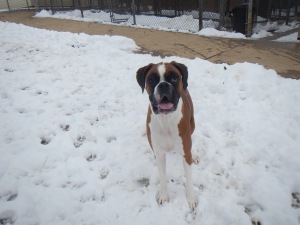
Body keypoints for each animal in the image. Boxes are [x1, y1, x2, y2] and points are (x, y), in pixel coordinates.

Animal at [135, 60, 197, 210]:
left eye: (174, 77)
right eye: (151, 79)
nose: (163, 85)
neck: (166, 120)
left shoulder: (186, 154)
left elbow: (189, 179)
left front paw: (190, 199)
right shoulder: (160, 155)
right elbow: (163, 178)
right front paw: (164, 196)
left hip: (193, 125)